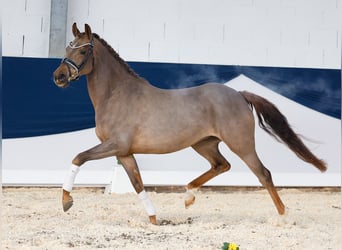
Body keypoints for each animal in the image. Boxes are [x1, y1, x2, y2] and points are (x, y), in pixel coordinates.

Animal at [52, 22, 326, 224]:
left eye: (83, 51)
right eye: (67, 49)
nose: (59, 77)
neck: (117, 94)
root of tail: (239, 94)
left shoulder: (116, 145)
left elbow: (78, 157)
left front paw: (66, 202)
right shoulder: (125, 152)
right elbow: (138, 184)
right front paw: (154, 220)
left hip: (241, 144)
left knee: (263, 174)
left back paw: (283, 217)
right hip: (204, 144)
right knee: (221, 165)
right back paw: (188, 196)